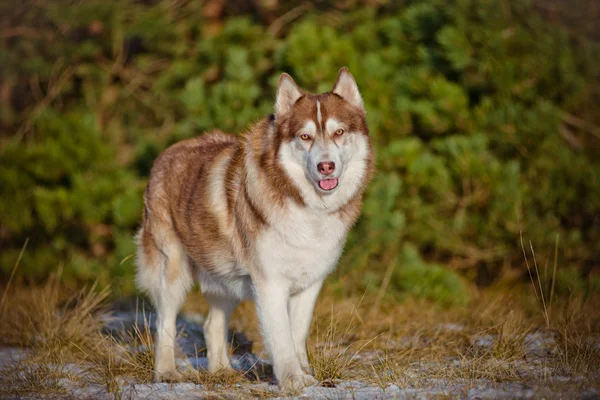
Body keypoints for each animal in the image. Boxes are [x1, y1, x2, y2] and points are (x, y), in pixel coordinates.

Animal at [137, 67, 376, 390]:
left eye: (339, 133)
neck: (308, 209)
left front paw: (305, 374)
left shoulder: (310, 284)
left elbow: (297, 335)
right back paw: (166, 372)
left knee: (211, 324)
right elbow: (282, 339)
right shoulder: (270, 284)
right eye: (305, 136)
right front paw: (292, 381)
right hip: (173, 270)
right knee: (165, 322)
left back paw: (222, 371)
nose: (325, 166)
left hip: (225, 279)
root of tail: (164, 155)